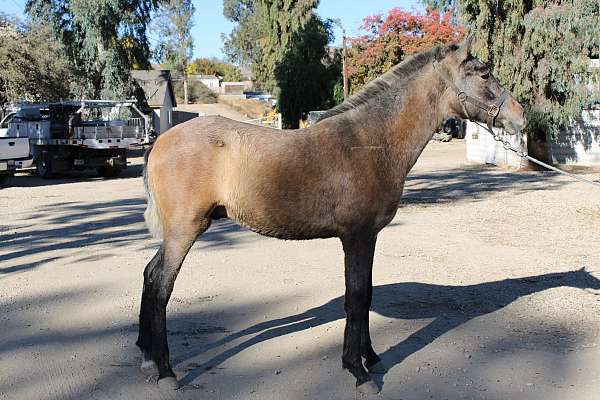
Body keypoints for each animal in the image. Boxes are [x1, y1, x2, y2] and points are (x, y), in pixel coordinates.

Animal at [135, 35, 524, 394]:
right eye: (485, 74)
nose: (520, 116)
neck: (370, 142)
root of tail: (162, 141)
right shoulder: (356, 236)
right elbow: (356, 297)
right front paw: (358, 371)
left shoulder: (370, 237)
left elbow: (367, 295)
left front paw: (372, 358)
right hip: (185, 230)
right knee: (161, 285)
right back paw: (166, 372)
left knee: (150, 275)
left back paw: (147, 357)